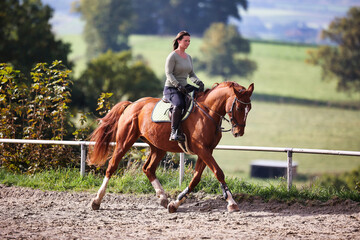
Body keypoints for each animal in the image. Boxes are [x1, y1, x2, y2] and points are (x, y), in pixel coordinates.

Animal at [88, 82, 253, 212]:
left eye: (249, 108)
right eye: (239, 107)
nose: (239, 132)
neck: (207, 112)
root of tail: (131, 104)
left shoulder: (206, 151)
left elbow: (196, 178)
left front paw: (175, 203)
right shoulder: (202, 149)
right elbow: (219, 173)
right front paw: (231, 202)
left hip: (158, 147)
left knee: (148, 169)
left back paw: (162, 198)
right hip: (124, 141)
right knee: (112, 166)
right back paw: (96, 201)